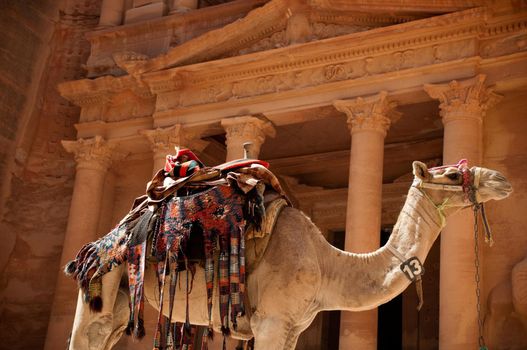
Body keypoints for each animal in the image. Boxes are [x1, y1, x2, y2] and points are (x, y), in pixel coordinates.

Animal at [68, 161, 512, 350]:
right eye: (452, 174)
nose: (502, 179)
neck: (327, 264)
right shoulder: (271, 322)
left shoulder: (292, 327)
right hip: (103, 278)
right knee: (88, 333)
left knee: (104, 335)